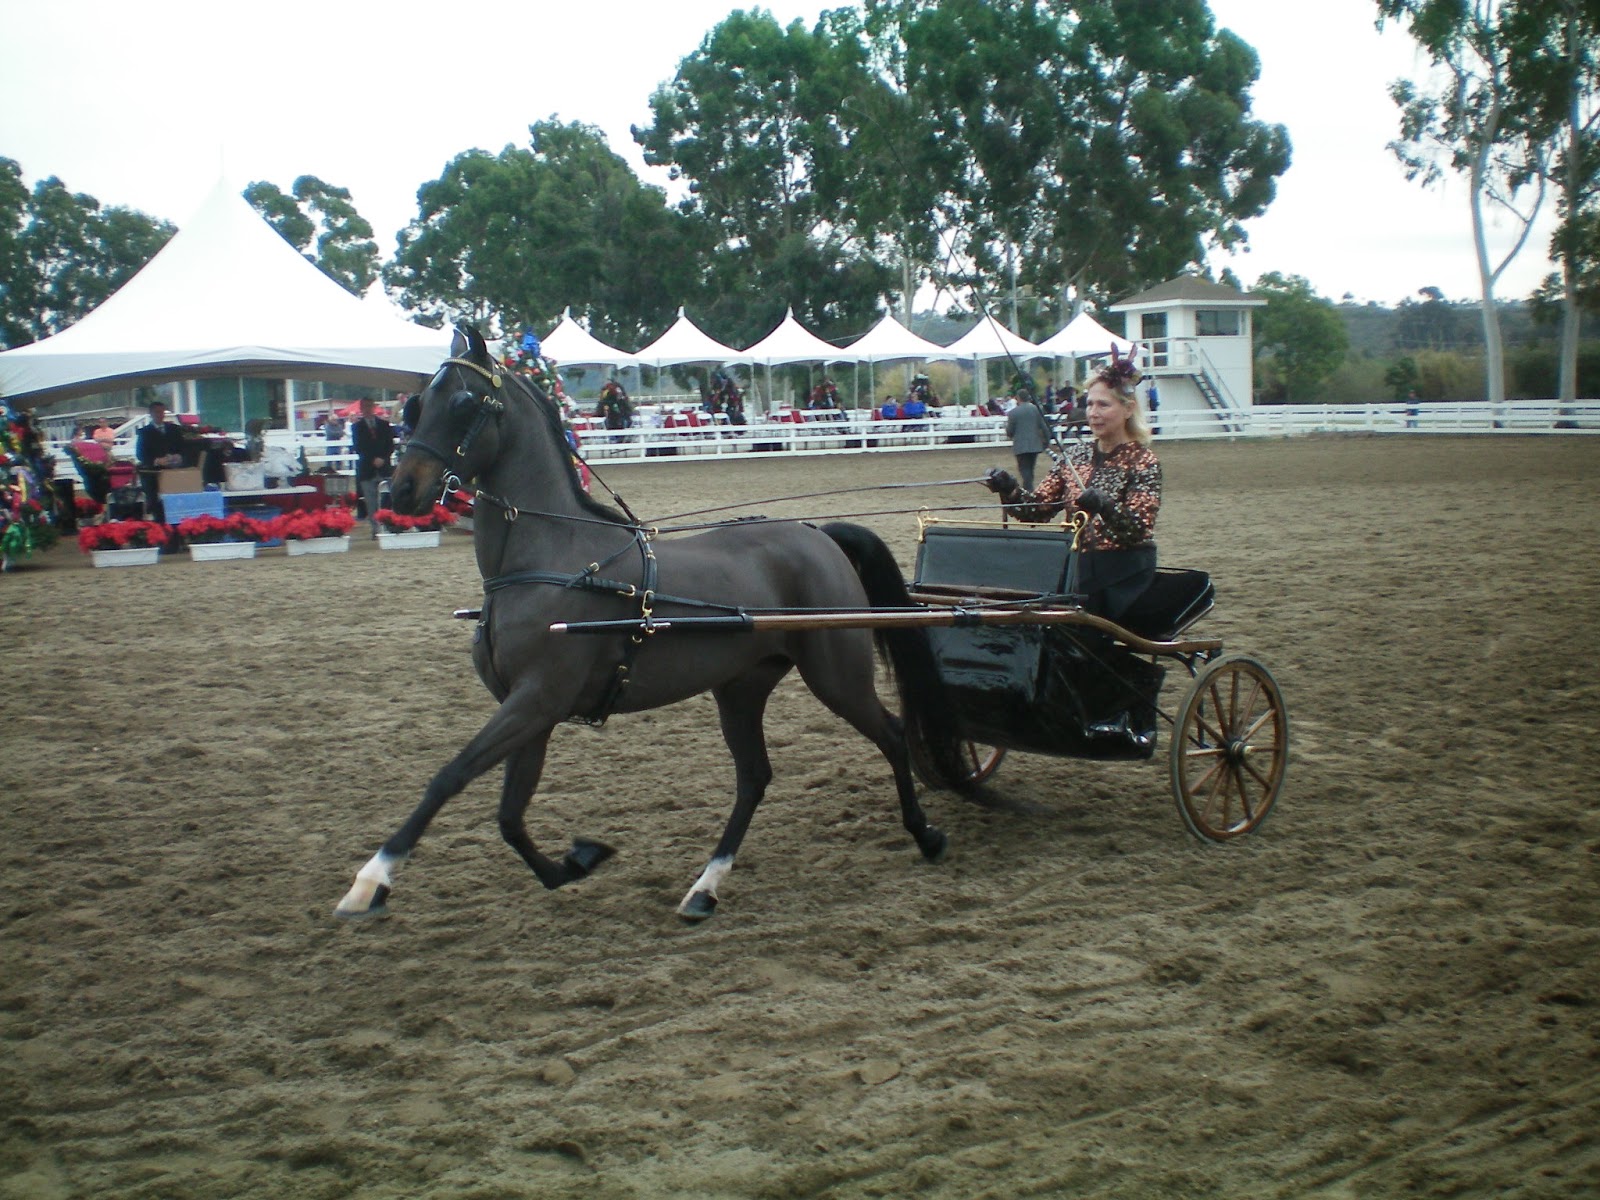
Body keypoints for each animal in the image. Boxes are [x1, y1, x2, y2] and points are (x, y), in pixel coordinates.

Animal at [334, 327, 973, 922]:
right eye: (417, 405)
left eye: (465, 403)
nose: (402, 490)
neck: (548, 561)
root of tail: (817, 534)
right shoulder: (530, 710)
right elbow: (510, 816)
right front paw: (576, 861)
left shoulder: (536, 700)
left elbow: (450, 777)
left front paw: (371, 880)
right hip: (741, 687)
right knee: (755, 777)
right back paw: (705, 888)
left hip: (836, 676)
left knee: (892, 735)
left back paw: (925, 835)